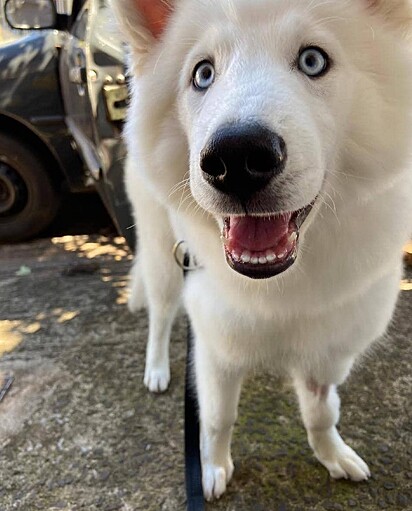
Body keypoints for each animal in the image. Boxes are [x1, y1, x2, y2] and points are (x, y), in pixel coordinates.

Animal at [112, 0, 412, 504]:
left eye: (312, 60)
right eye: (203, 74)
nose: (235, 160)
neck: (282, 283)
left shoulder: (327, 348)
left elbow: (322, 413)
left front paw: (332, 456)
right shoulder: (215, 343)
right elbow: (217, 417)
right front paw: (212, 469)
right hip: (163, 255)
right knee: (161, 313)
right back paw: (156, 369)